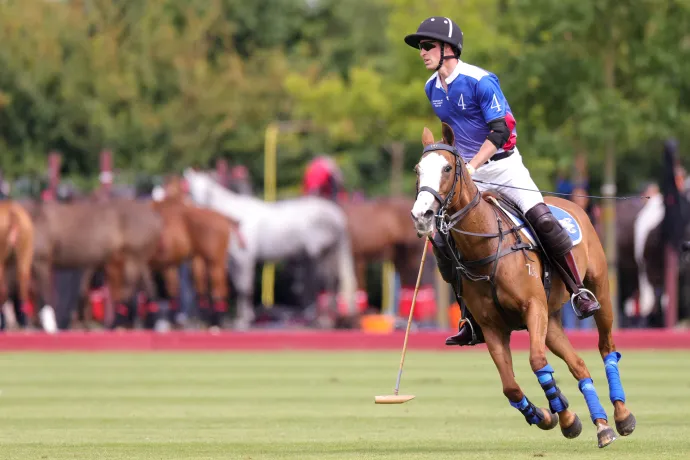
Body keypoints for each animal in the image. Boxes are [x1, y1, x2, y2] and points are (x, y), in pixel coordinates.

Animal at [183, 168, 357, 329]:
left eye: (208, 190)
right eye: (191, 190)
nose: (200, 209)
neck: (236, 219)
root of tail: (337, 216)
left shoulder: (245, 259)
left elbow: (245, 289)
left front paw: (245, 320)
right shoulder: (234, 262)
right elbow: (239, 288)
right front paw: (242, 318)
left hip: (320, 255)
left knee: (326, 283)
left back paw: (323, 319)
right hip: (328, 254)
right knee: (334, 282)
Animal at [410, 123, 635, 448]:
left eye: (448, 167)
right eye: (417, 169)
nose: (421, 216)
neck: (485, 247)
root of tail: (571, 203)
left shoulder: (533, 307)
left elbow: (537, 361)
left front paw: (563, 415)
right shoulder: (492, 326)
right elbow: (511, 387)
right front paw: (551, 416)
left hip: (598, 287)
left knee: (607, 347)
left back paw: (621, 415)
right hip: (551, 320)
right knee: (578, 363)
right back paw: (601, 425)